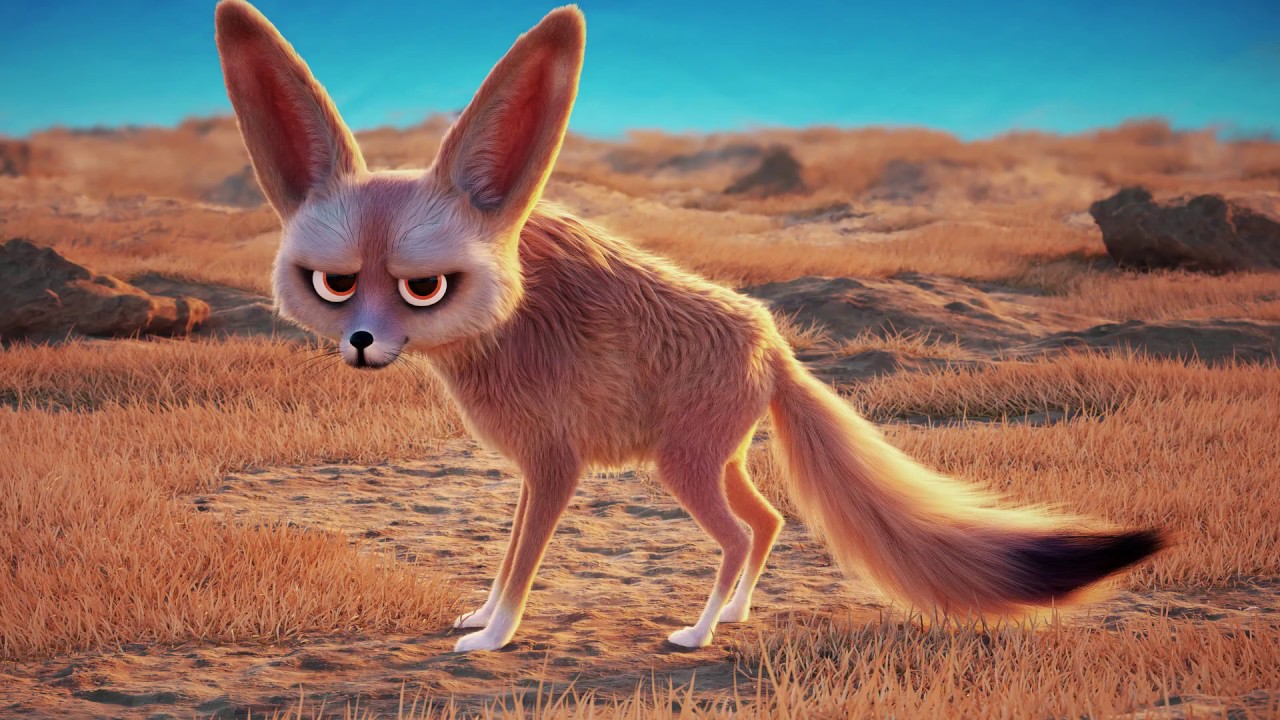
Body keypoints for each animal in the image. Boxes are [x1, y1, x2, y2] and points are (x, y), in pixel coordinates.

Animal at [214, 0, 1163, 652]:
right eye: (336, 284)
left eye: (423, 289)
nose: (361, 344)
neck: (505, 326)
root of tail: (772, 339)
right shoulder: (535, 469)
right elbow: (505, 551)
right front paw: (480, 616)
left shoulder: (555, 465)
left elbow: (523, 560)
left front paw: (493, 637)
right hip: (719, 458)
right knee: (770, 523)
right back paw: (734, 615)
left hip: (684, 466)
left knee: (744, 531)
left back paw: (697, 634)